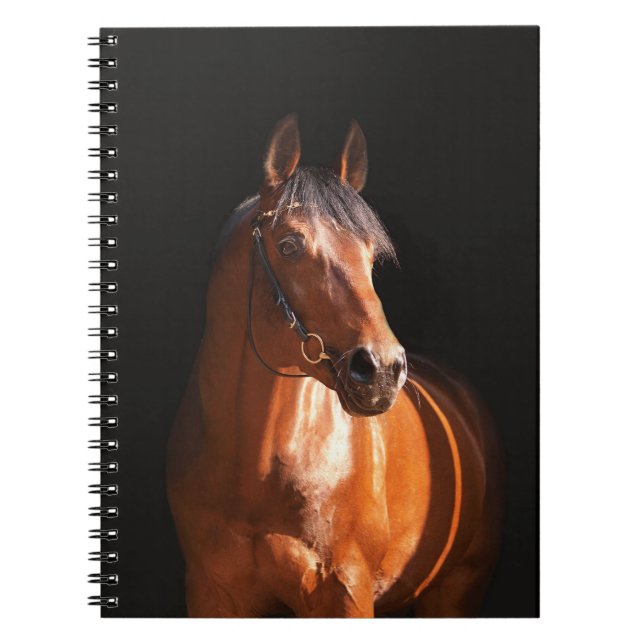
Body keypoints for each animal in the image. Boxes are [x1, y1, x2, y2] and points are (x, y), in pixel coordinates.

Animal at [167, 114, 504, 617]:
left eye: (370, 254)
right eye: (288, 245)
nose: (382, 370)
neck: (256, 466)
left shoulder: (344, 590)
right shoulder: (212, 594)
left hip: (459, 590)